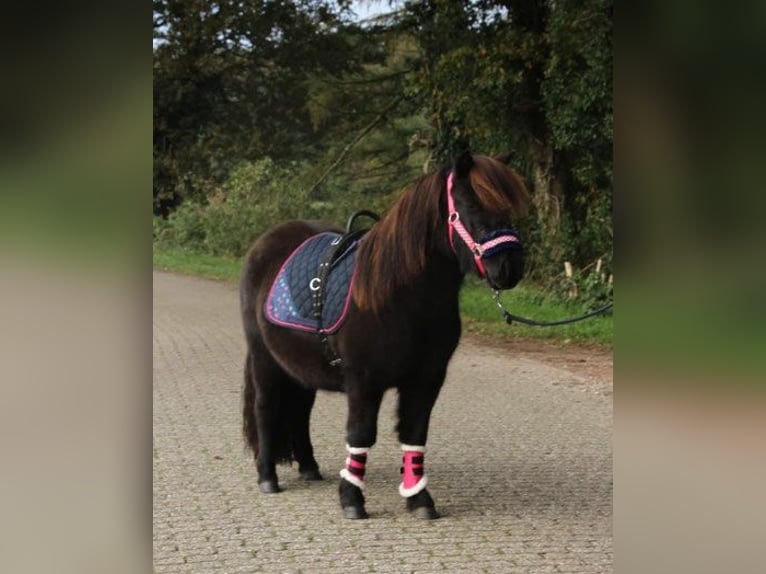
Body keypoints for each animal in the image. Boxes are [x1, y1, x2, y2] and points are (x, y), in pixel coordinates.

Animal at [240, 151, 530, 519]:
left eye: (507, 207)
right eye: (469, 205)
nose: (509, 267)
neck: (401, 299)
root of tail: (267, 242)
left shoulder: (427, 379)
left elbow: (414, 433)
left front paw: (419, 498)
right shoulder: (364, 381)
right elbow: (361, 434)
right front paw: (352, 498)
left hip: (300, 367)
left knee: (301, 411)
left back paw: (309, 467)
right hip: (264, 358)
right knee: (265, 407)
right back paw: (267, 476)